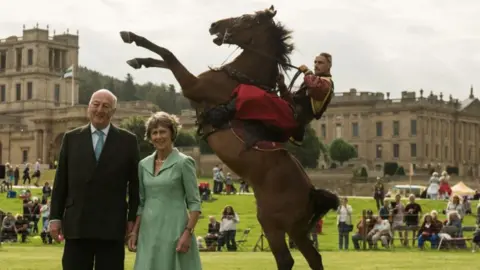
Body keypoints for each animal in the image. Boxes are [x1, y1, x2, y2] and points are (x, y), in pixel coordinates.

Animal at [118, 4, 340, 270]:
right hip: (295, 229)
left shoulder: (192, 86)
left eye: (245, 19)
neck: (238, 78)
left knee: (286, 259)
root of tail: (311, 192)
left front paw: (133, 37)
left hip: (272, 223)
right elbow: (164, 59)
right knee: (313, 257)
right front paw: (138, 60)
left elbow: (168, 54)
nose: (213, 25)